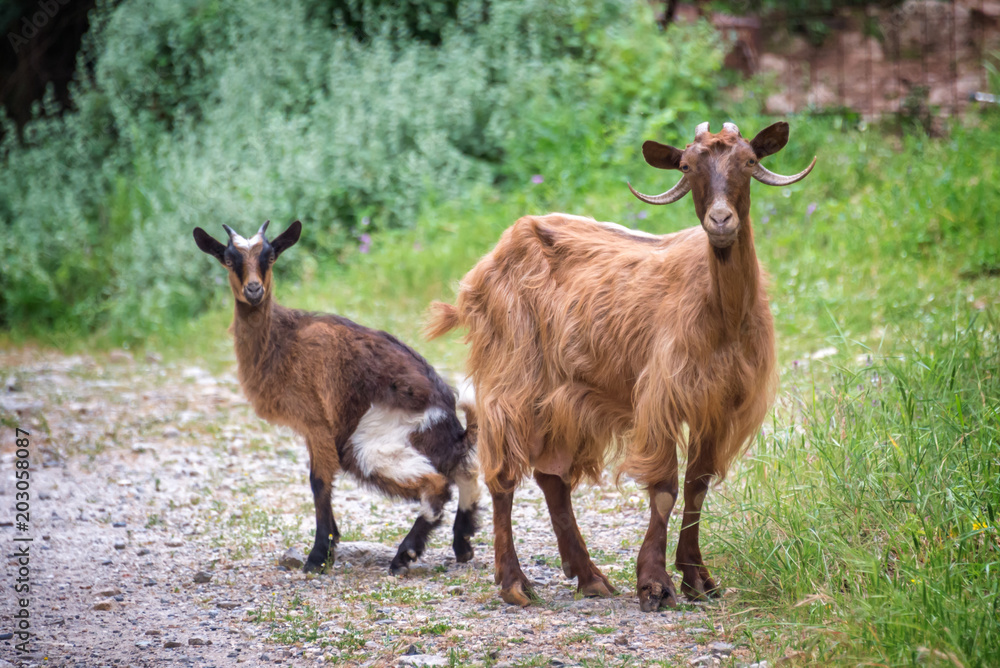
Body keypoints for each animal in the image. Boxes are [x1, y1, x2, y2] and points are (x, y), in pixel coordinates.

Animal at [193, 219, 482, 576]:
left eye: (270, 256)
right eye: (229, 259)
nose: (254, 290)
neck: (282, 340)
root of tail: (452, 427)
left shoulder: (317, 421)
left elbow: (318, 481)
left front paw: (318, 555)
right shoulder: (315, 430)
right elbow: (321, 481)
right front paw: (330, 547)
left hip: (371, 443)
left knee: (437, 484)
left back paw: (405, 555)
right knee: (466, 470)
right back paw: (462, 543)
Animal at [428, 120, 812, 612]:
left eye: (748, 161)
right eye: (687, 167)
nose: (721, 221)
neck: (721, 312)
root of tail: (484, 266)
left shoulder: (718, 402)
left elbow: (698, 483)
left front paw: (698, 578)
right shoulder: (662, 394)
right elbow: (665, 487)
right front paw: (655, 584)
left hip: (568, 392)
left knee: (552, 477)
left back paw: (590, 576)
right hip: (513, 374)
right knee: (504, 473)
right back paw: (514, 583)